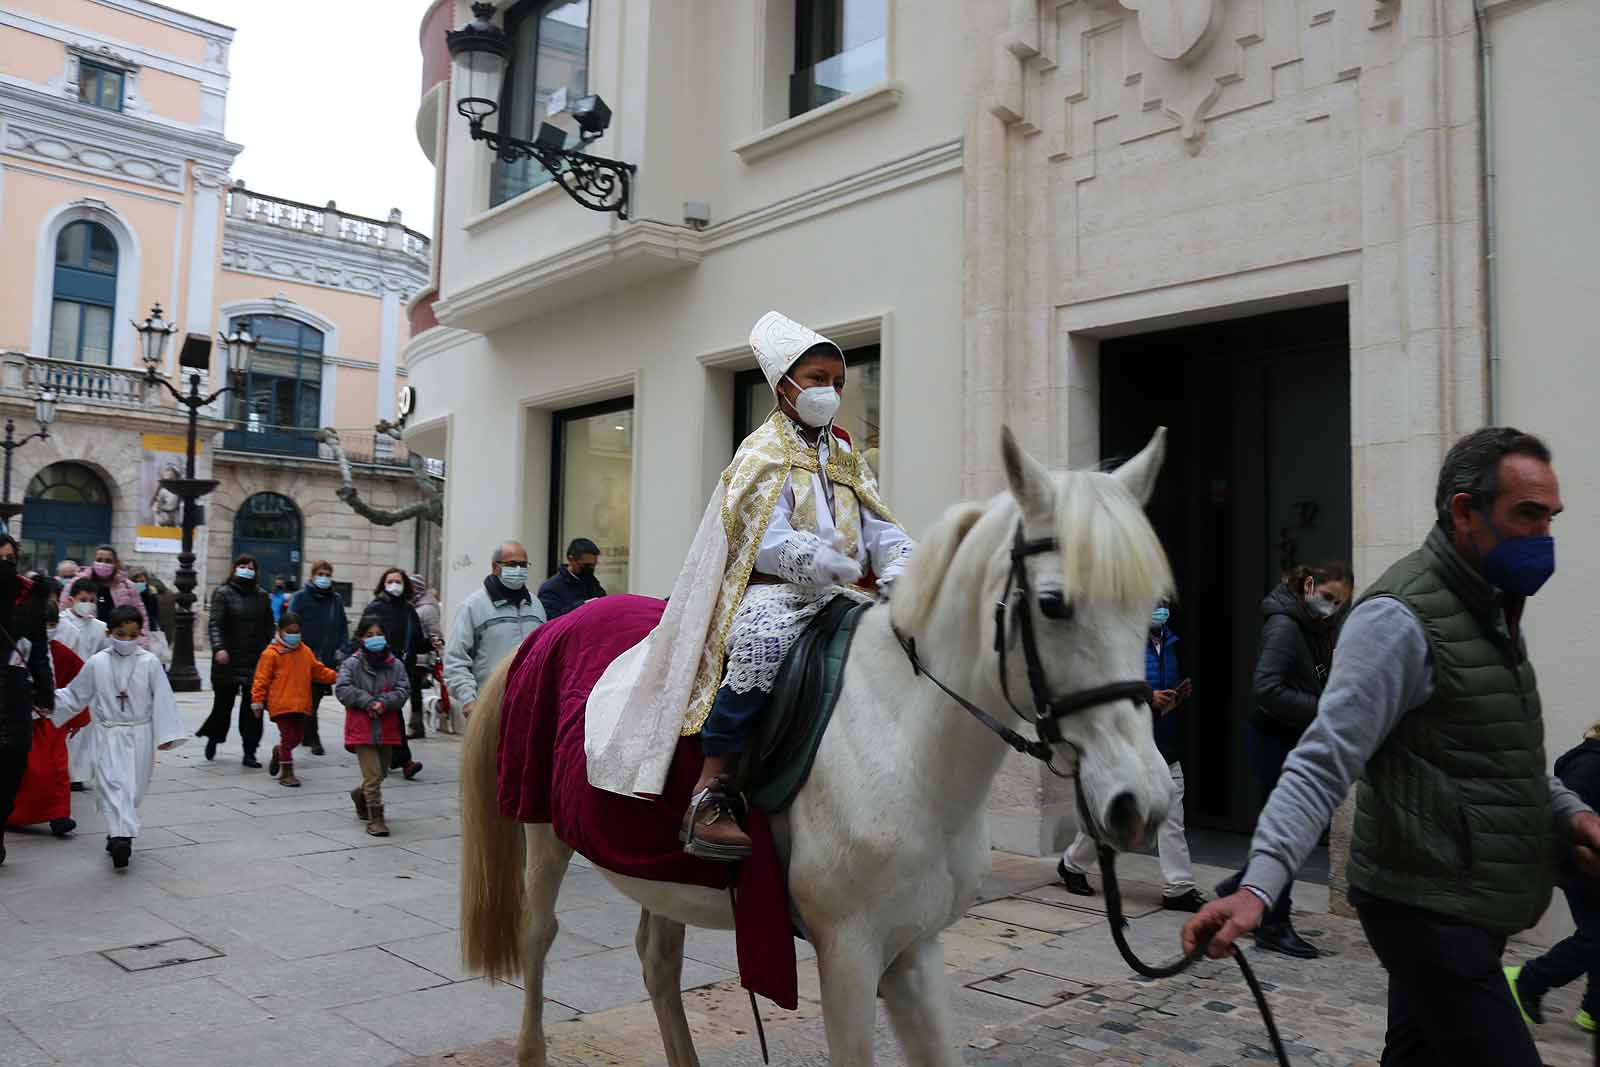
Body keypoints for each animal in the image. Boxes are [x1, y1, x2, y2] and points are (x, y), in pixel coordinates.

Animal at [460, 428, 1177, 1067]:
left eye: (1151, 604)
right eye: (1053, 603)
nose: (1141, 802)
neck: (906, 739)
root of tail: (545, 630)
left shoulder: (915, 949)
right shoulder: (849, 954)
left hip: (658, 864)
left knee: (657, 959)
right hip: (544, 830)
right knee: (538, 933)